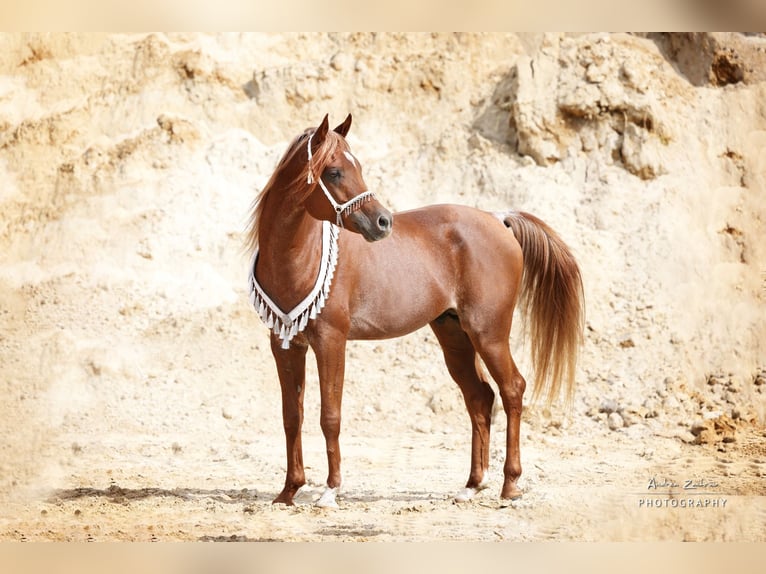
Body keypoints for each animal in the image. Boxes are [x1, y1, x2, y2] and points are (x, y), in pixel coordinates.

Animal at [245, 114, 584, 508]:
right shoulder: (285, 344)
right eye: (333, 172)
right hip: (454, 334)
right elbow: (291, 416)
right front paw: (288, 491)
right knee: (480, 397)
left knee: (512, 389)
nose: (383, 222)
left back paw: (510, 484)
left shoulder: (331, 341)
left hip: (489, 333)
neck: (299, 258)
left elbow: (330, 416)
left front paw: (330, 490)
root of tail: (498, 218)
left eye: (358, 167)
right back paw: (472, 484)